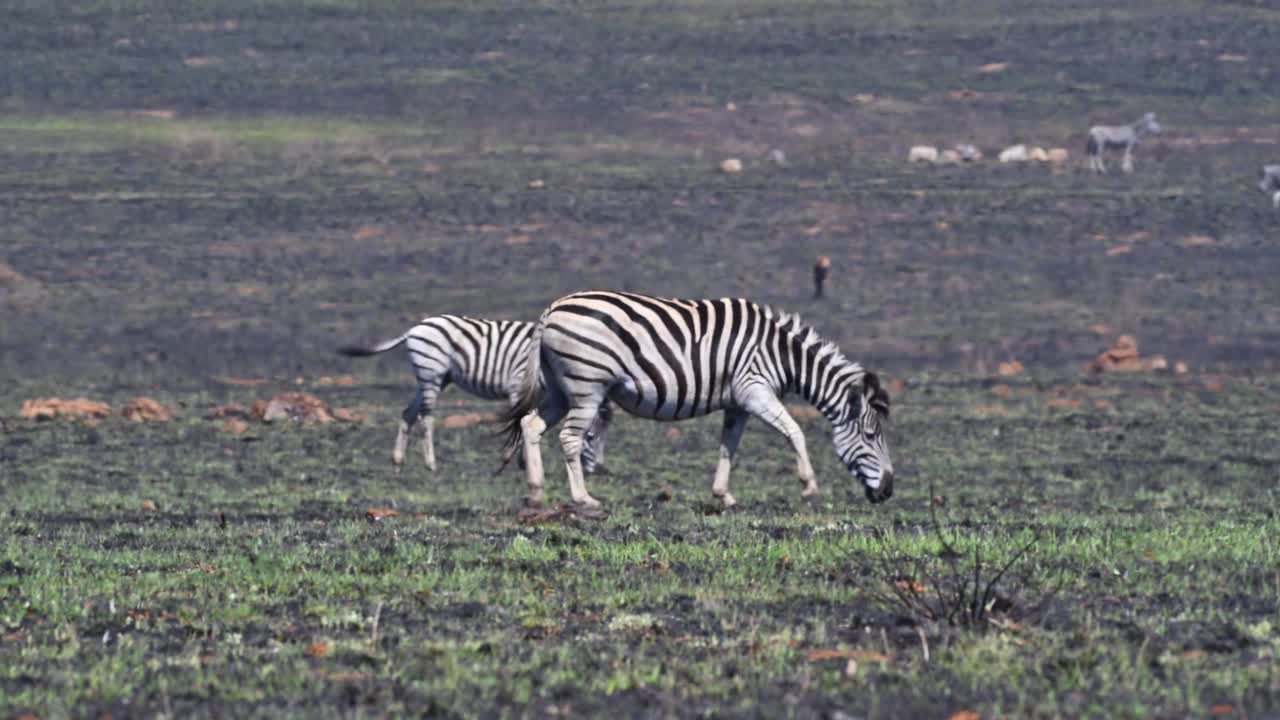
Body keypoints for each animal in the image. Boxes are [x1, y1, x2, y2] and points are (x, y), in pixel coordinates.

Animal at [340, 316, 609, 474]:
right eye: (591, 437)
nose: (597, 470)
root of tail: (416, 328)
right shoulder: (518, 385)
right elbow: (520, 421)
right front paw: (518, 460)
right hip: (432, 373)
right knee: (425, 418)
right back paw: (431, 464)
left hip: (435, 377)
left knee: (408, 413)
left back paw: (398, 461)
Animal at [494, 288, 896, 507]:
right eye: (872, 436)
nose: (888, 492)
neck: (783, 354)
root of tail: (552, 309)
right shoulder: (754, 389)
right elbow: (794, 431)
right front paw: (809, 485)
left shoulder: (737, 403)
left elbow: (728, 446)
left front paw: (723, 495)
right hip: (587, 385)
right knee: (569, 439)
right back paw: (583, 498)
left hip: (560, 389)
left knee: (531, 425)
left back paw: (535, 492)